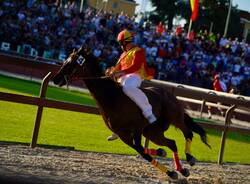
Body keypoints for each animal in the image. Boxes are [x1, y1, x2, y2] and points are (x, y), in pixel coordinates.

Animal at [52, 46, 211, 180]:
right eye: (65, 61)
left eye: (71, 63)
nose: (55, 79)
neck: (112, 98)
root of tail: (168, 93)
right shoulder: (124, 135)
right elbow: (142, 151)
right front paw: (169, 168)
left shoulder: (136, 130)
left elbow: (142, 151)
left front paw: (170, 171)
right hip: (153, 131)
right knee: (172, 144)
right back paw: (179, 167)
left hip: (175, 117)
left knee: (188, 133)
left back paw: (189, 158)